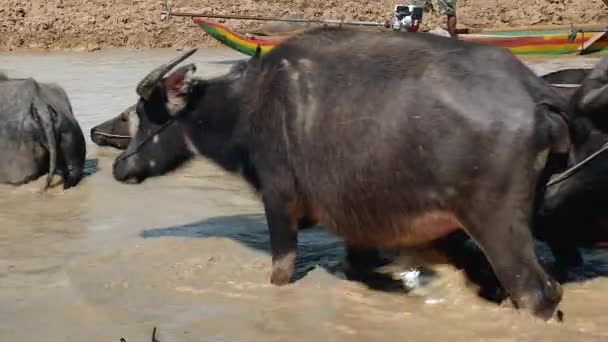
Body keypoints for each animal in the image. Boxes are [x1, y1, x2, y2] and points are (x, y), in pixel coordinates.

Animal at [111, 28, 576, 320]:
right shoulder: (360, 222)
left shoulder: (278, 203)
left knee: (537, 293)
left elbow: (281, 273)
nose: (119, 166)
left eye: (143, 114)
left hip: (496, 223)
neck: (247, 106)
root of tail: (534, 92)